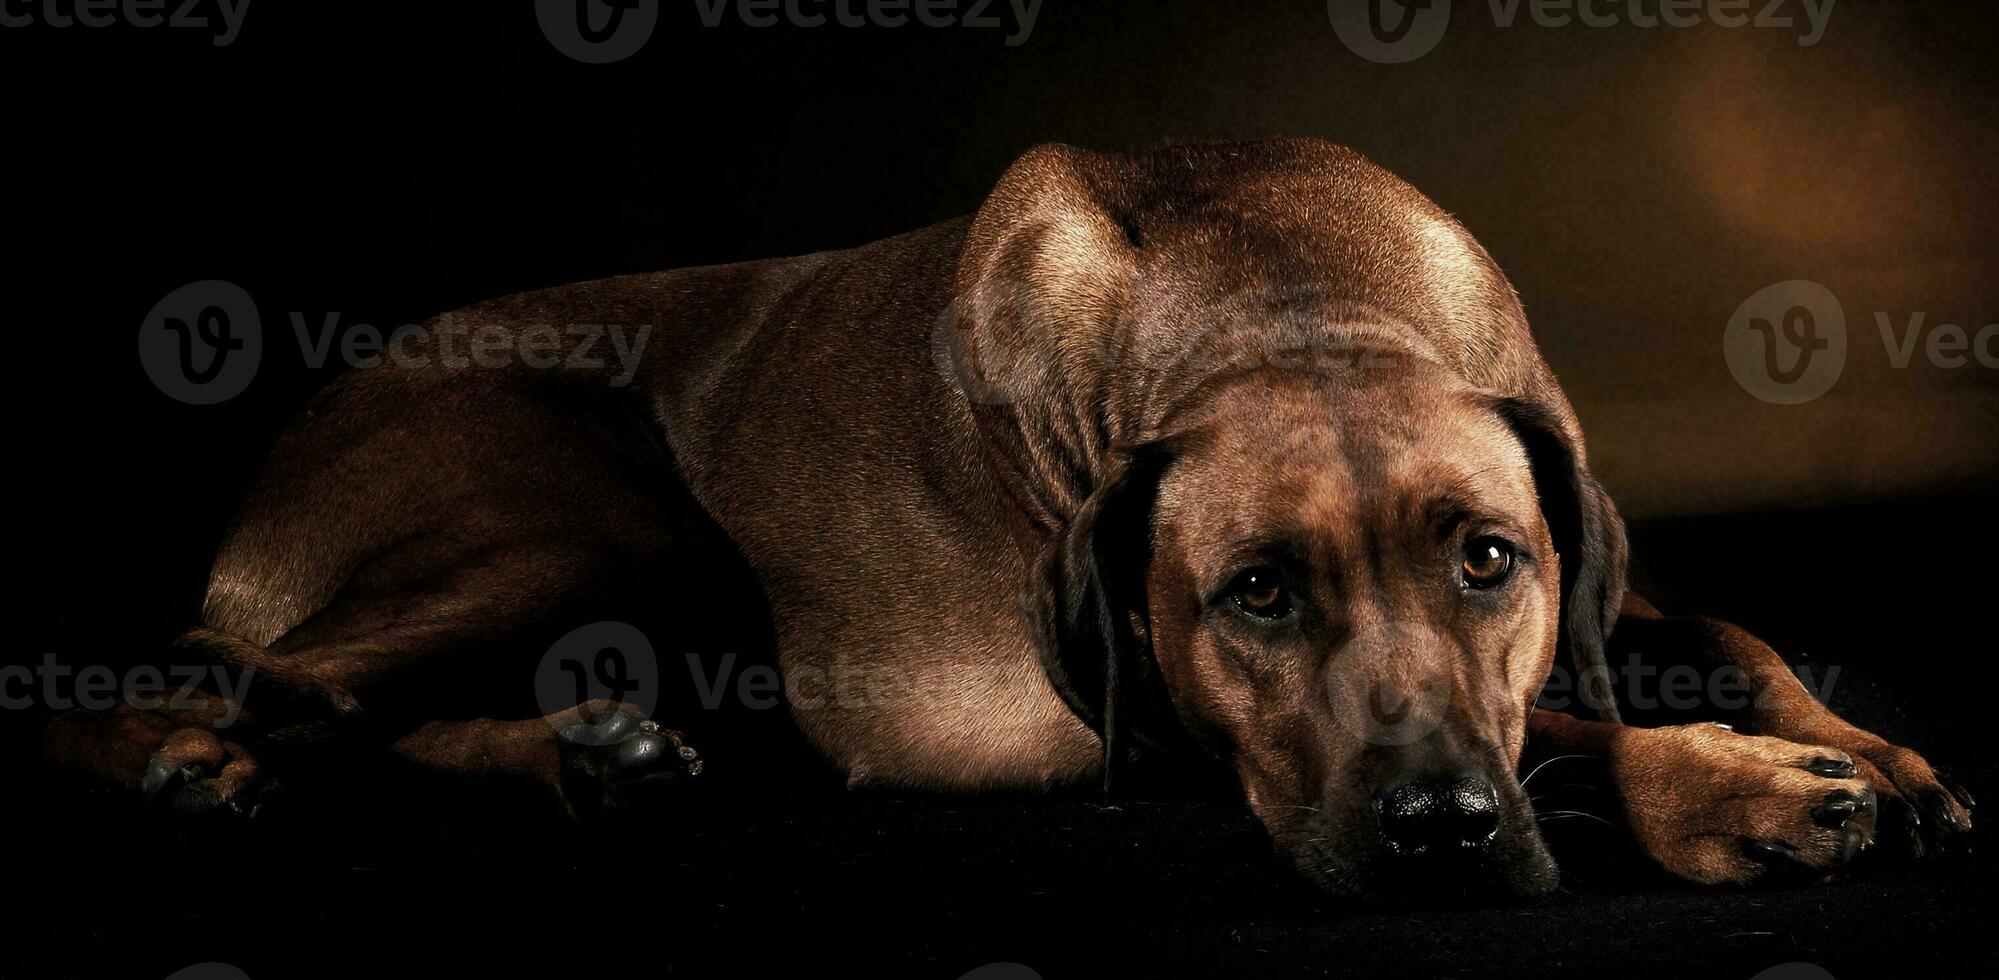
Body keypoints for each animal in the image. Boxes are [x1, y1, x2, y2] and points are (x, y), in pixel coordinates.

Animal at [46, 138, 1967, 904]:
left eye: (1486, 560)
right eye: (1249, 597)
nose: (1433, 827)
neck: (1287, 303)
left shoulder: (1578, 556)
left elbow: (1717, 630)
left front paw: (1869, 750)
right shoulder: (1155, 722)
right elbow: (1565, 724)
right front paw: (1728, 792)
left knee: (340, 703)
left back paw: (592, 756)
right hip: (606, 505)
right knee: (238, 679)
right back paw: (186, 763)